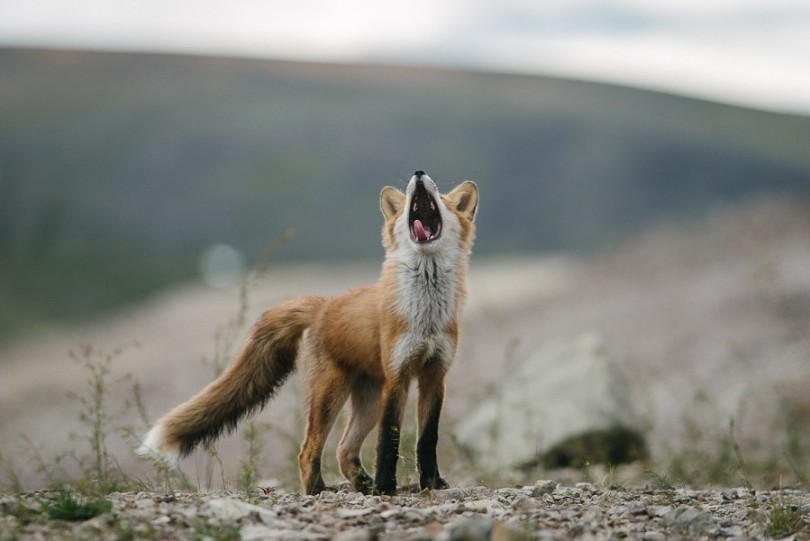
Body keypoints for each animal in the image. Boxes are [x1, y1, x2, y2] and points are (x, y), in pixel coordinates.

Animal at [137, 171, 476, 496]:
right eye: (407, 201)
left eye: (442, 199)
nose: (419, 173)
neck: (426, 317)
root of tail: (324, 303)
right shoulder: (398, 376)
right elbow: (388, 441)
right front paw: (385, 487)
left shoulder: (435, 375)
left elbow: (427, 440)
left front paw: (432, 483)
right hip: (331, 393)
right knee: (308, 450)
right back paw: (318, 490)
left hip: (367, 402)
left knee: (343, 450)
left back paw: (360, 486)